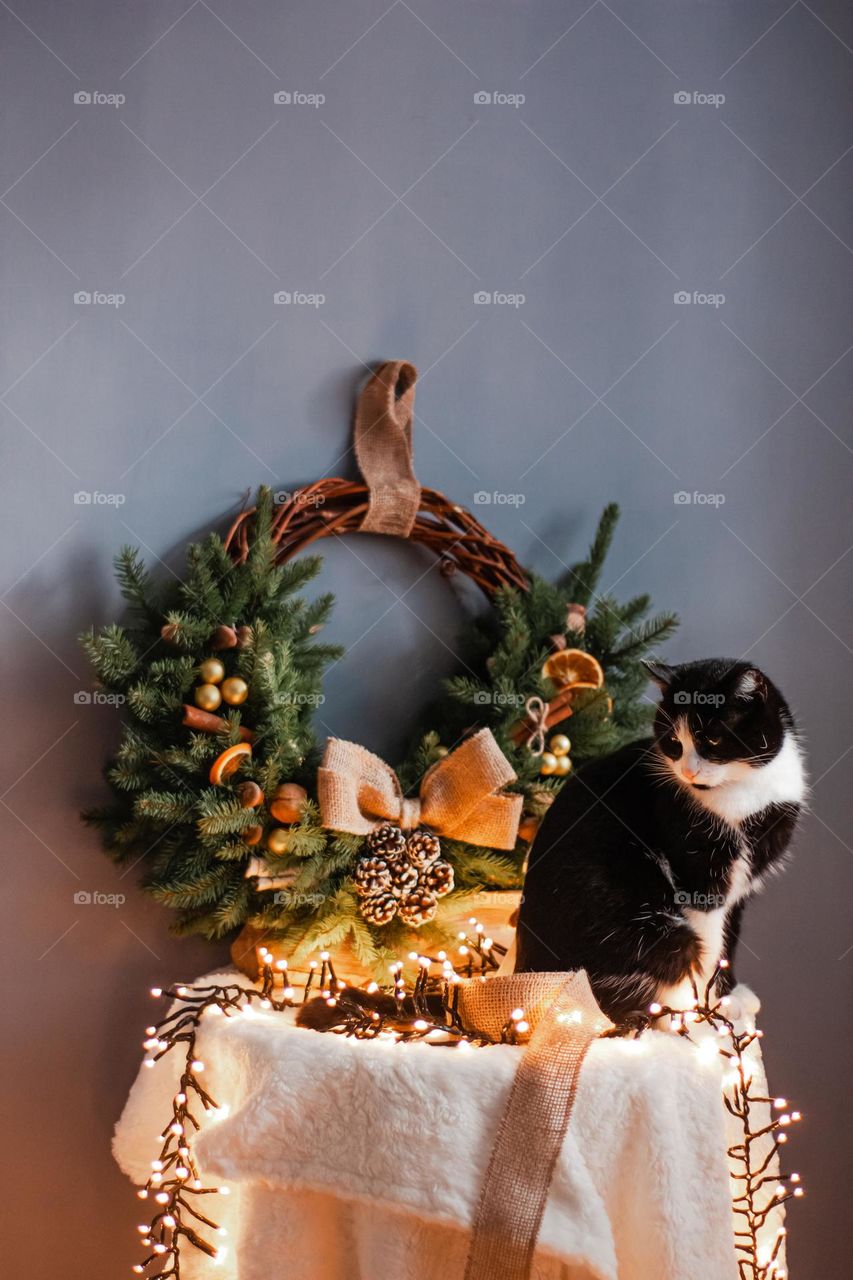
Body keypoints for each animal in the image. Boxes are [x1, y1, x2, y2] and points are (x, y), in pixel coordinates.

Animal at [512, 660, 804, 1018]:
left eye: (713, 740)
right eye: (674, 741)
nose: (689, 772)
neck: (744, 795)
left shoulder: (744, 882)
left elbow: (729, 936)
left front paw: (729, 994)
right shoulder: (697, 873)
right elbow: (708, 938)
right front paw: (702, 1008)